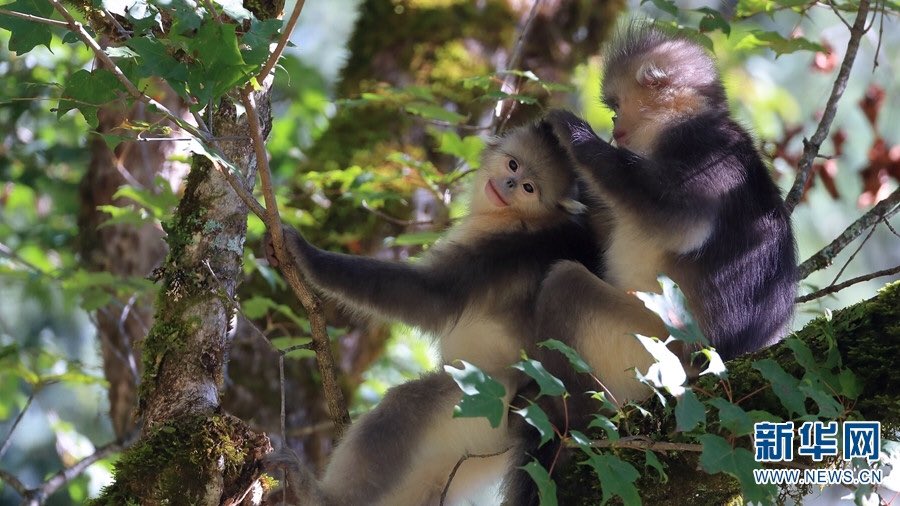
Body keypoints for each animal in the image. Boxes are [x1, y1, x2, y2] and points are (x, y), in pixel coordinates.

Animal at [263, 120, 604, 505]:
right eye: (513, 165)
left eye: (529, 188)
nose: (509, 185)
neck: (517, 218)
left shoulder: (501, 253)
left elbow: (428, 297)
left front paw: (305, 254)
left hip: (482, 406)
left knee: (409, 403)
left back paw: (317, 495)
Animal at [504, 24, 799, 505]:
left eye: (616, 106)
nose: (613, 126)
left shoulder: (697, 145)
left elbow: (678, 220)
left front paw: (573, 133)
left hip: (653, 353)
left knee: (565, 282)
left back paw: (574, 421)